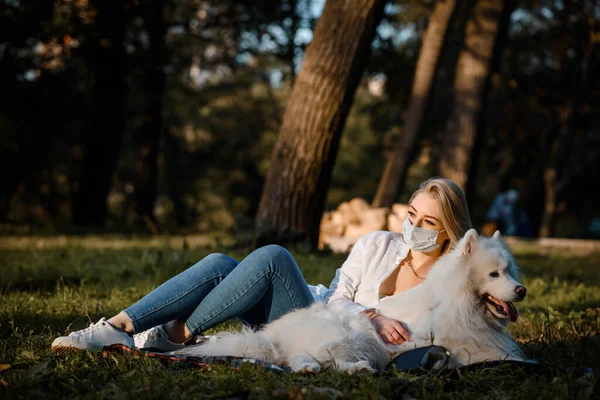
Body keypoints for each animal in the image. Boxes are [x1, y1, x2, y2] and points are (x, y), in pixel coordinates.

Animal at [171, 230, 528, 374]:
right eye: (494, 274)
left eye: (510, 271)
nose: (522, 290)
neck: (453, 301)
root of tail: (270, 335)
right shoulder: (460, 346)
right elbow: (500, 355)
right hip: (348, 335)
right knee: (305, 359)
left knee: (322, 363)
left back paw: (358, 371)